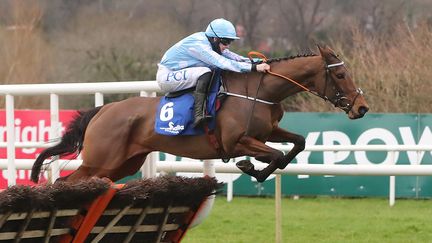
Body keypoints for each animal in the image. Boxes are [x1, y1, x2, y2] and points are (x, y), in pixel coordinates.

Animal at [30, 44, 370, 184]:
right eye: (340, 75)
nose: (362, 107)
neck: (259, 91)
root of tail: (104, 110)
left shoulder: (267, 132)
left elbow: (297, 143)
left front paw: (258, 167)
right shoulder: (236, 141)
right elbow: (273, 155)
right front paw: (251, 166)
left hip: (122, 165)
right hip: (102, 161)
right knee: (65, 182)